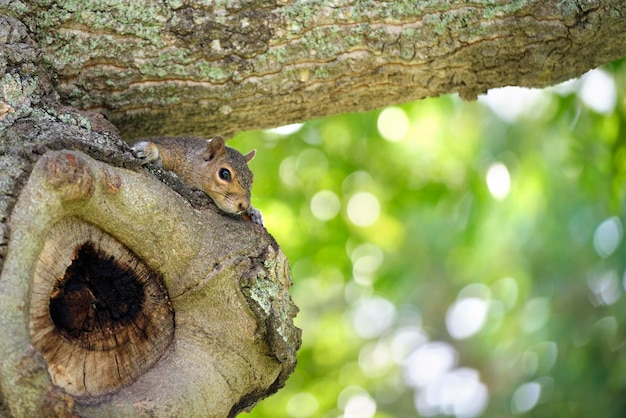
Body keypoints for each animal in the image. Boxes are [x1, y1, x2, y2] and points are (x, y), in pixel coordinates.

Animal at [130, 136, 262, 224]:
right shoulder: (174, 153)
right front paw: (147, 150)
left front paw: (254, 211)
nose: (244, 205)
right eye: (224, 174)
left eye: (252, 178)